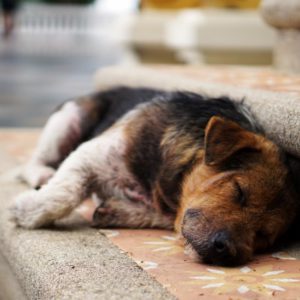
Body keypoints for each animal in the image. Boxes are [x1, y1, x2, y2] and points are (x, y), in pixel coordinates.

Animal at [10, 86, 300, 264]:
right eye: (239, 191)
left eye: (263, 235)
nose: (226, 250)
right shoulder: (93, 153)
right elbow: (65, 192)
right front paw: (28, 212)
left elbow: (159, 217)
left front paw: (116, 210)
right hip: (68, 119)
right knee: (32, 162)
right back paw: (41, 175)